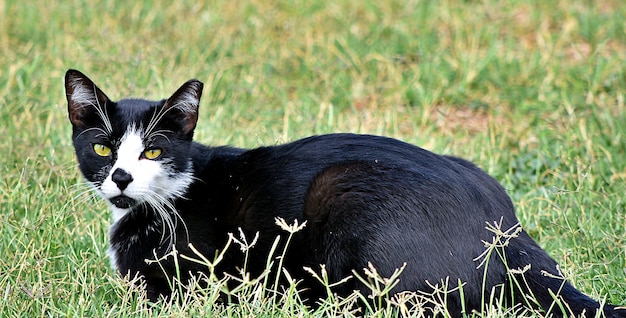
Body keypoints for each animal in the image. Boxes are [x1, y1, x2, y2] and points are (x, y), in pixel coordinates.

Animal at [66, 68, 620, 316]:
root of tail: (509, 231)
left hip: (343, 197)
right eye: (103, 148)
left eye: (153, 151)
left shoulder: (186, 286)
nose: (121, 177)